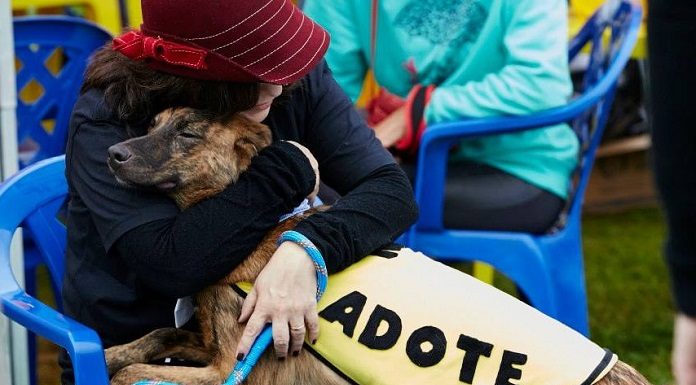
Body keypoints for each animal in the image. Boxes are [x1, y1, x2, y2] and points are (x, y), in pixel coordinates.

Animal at [103, 107, 652, 384]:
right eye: (151, 125)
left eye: (188, 133)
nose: (112, 153)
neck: (260, 225)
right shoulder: (209, 344)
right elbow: (157, 336)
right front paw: (109, 354)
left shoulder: (227, 371)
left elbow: (137, 375)